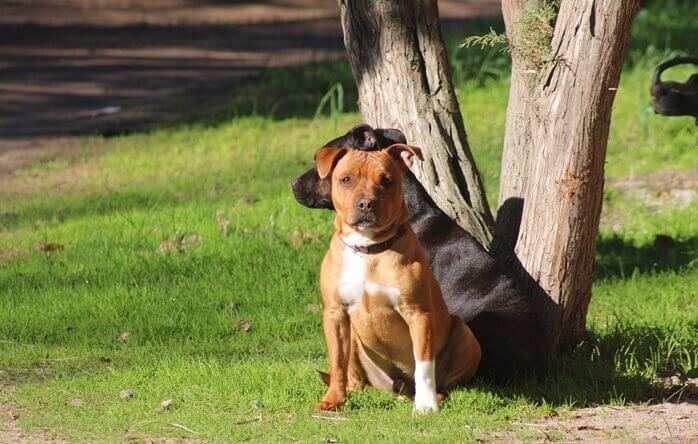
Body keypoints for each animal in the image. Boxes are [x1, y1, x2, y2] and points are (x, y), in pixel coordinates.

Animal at [314, 145, 478, 412]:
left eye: (387, 180)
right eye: (346, 179)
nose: (366, 203)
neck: (368, 249)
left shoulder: (418, 314)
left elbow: (424, 365)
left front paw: (426, 405)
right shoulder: (335, 313)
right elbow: (337, 361)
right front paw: (333, 399)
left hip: (465, 334)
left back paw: (435, 395)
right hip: (355, 340)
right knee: (354, 374)